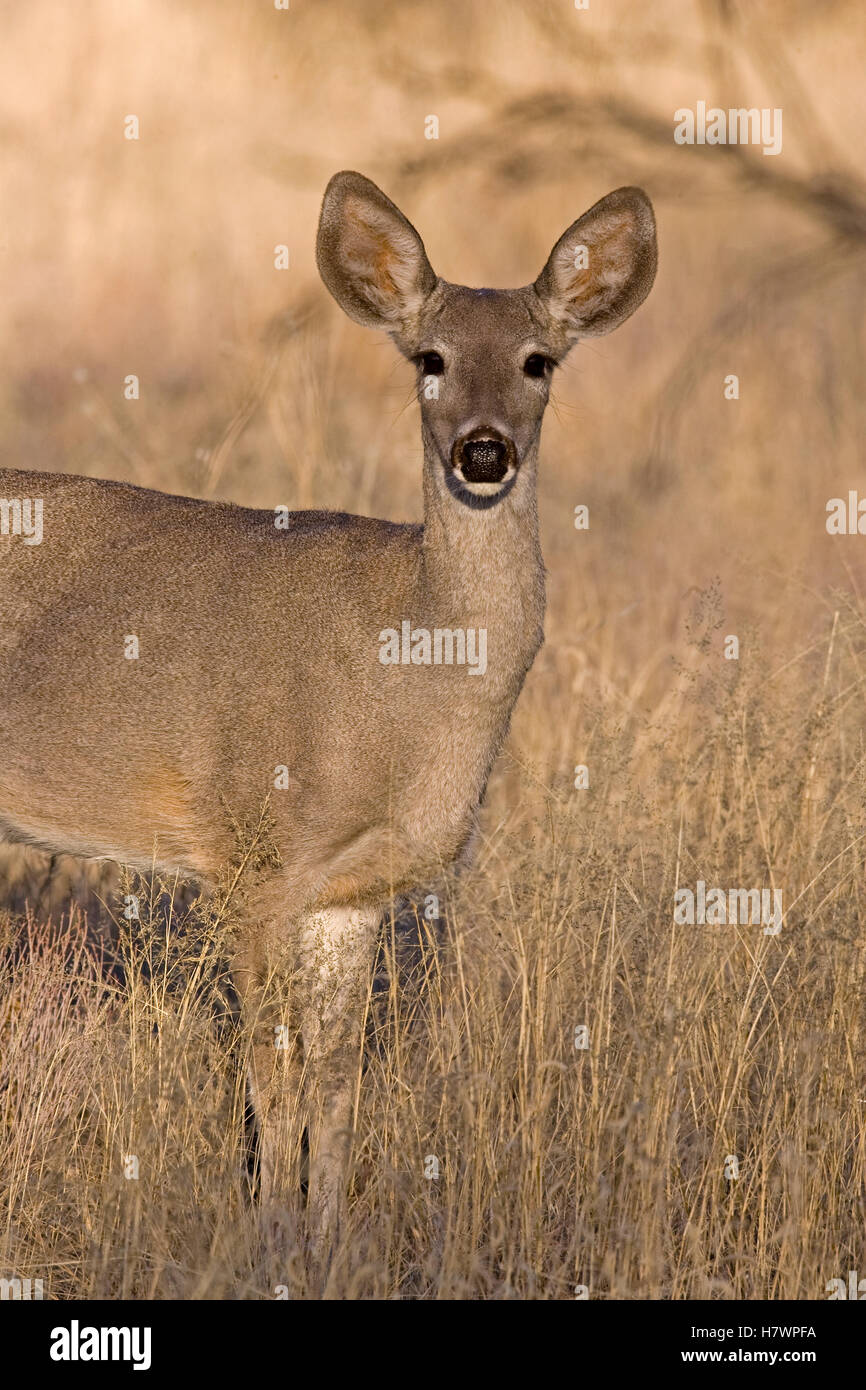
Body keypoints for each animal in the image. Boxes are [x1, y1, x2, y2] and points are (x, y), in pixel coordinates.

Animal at [0, 171, 657, 1253]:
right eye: (430, 358)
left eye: (538, 361)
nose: (484, 452)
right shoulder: (254, 854)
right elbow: (274, 1081)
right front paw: (267, 1241)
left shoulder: (354, 892)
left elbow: (339, 1085)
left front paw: (329, 1243)